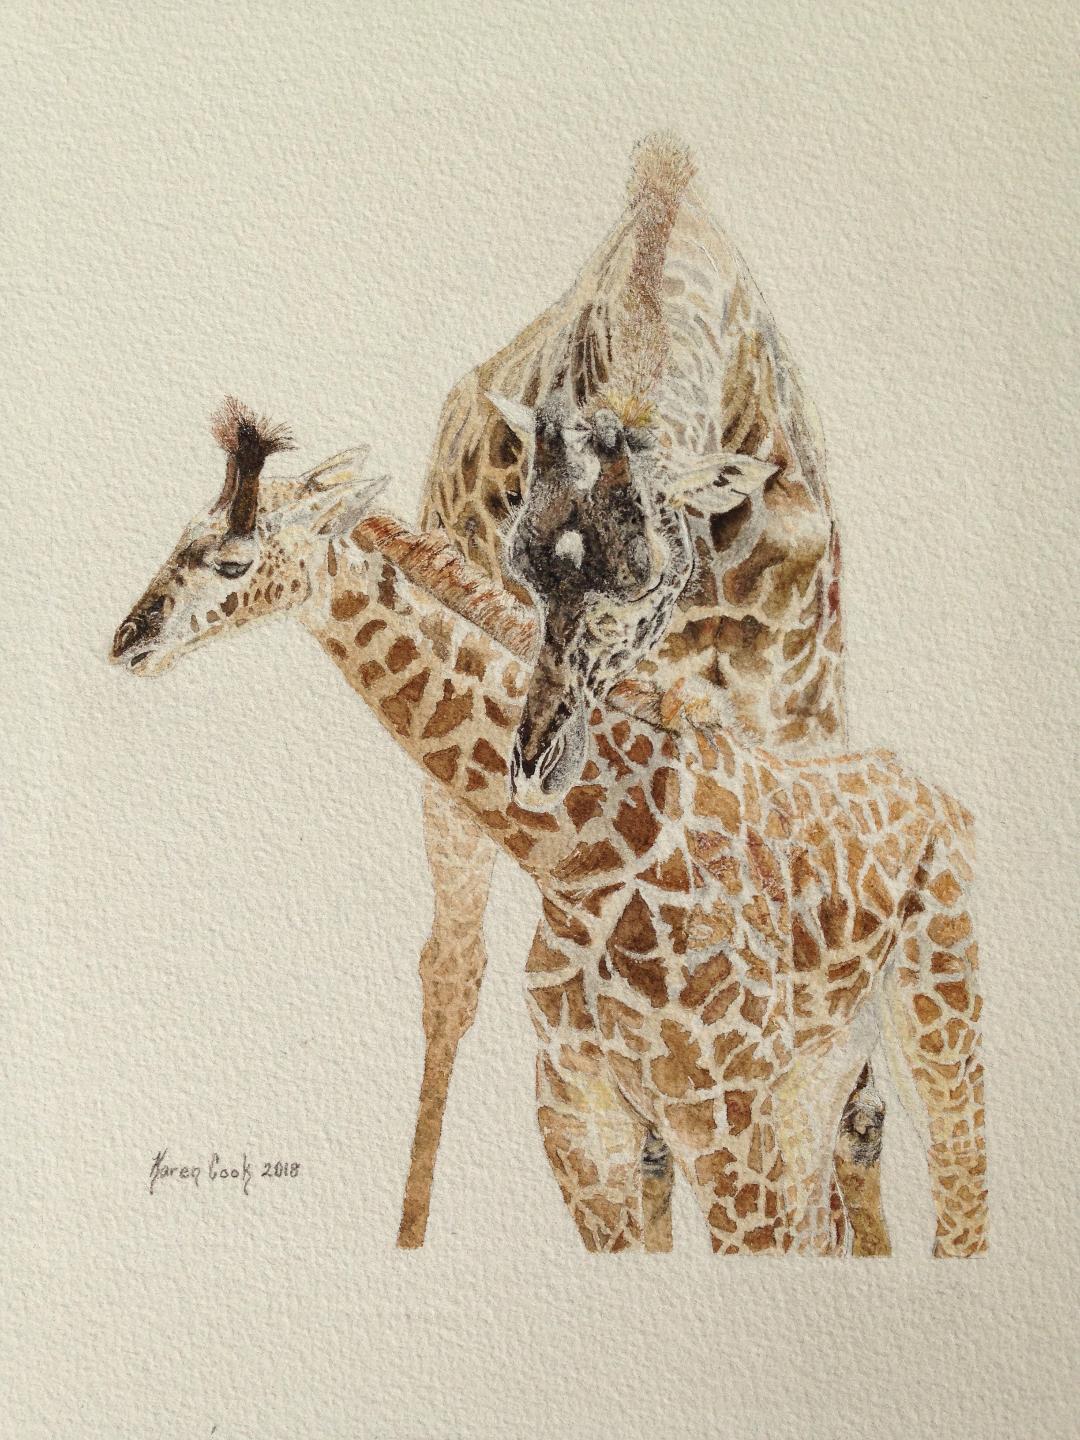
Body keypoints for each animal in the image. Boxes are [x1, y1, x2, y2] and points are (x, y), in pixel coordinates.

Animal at [110, 407, 986, 1256]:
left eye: (232, 563)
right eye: (183, 536)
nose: (128, 640)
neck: (586, 859)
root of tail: (941, 798)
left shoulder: (721, 1113)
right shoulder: (580, 1114)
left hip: (939, 1030)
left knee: (956, 1208)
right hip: (818, 1075)